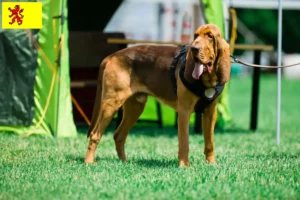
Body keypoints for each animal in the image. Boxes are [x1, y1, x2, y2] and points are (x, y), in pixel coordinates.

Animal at [83, 23, 231, 167]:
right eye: (195, 35)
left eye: (210, 36)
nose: (194, 48)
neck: (207, 79)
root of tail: (112, 56)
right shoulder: (184, 111)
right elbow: (184, 142)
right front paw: (184, 165)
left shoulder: (210, 113)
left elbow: (209, 142)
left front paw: (211, 163)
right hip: (111, 104)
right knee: (95, 135)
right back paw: (89, 162)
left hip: (135, 107)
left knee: (118, 135)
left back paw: (124, 162)